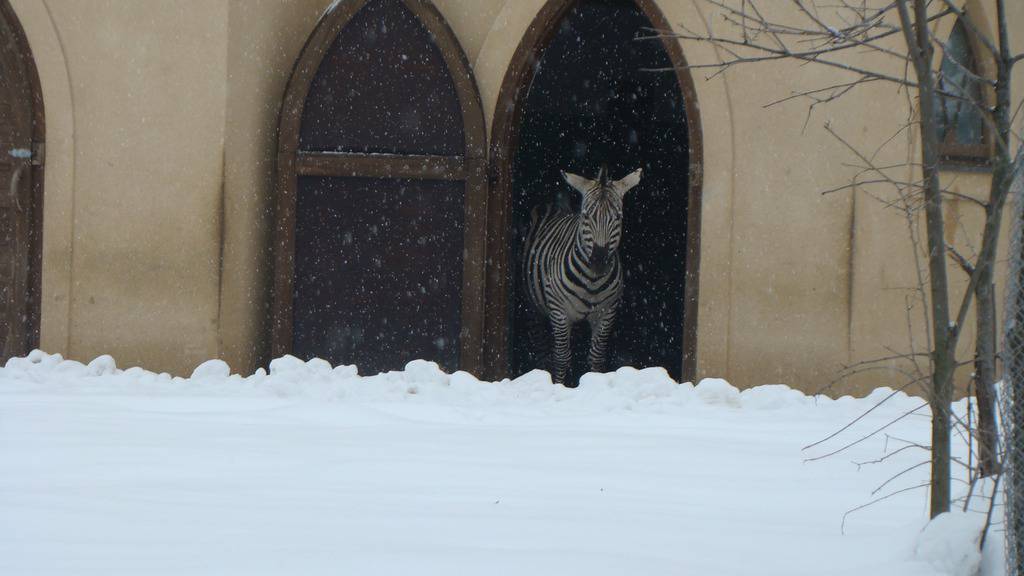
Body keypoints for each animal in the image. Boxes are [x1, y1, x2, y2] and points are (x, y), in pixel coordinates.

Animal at [524, 163, 643, 383]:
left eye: (618, 217)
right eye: (586, 216)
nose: (598, 262)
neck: (591, 282)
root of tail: (551, 204)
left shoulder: (607, 312)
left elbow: (596, 356)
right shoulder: (559, 312)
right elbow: (562, 357)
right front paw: (559, 385)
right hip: (532, 307)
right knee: (541, 348)